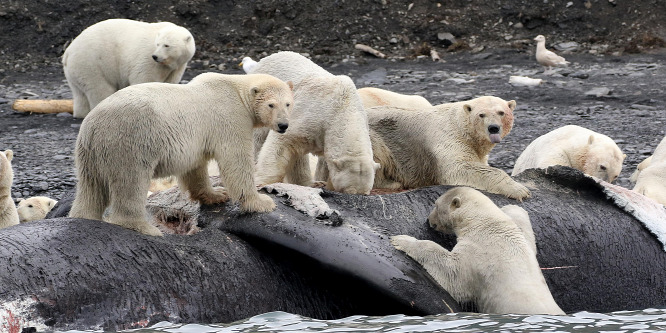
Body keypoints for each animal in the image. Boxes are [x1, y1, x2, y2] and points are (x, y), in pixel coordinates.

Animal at [63, 18, 195, 118]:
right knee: (100, 89)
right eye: (158, 44)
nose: (155, 56)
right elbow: (144, 79)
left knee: (80, 93)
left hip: (76, 70)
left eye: (166, 45)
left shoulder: (176, 67)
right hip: (91, 63)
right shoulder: (147, 59)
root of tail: (68, 52)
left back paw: (81, 113)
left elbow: (169, 82)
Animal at [69, 72, 294, 235]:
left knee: (91, 188)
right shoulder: (230, 118)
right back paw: (145, 228)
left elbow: (195, 167)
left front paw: (216, 194)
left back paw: (84, 216)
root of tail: (93, 125)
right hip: (130, 141)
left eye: (288, 103)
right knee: (131, 182)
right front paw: (261, 203)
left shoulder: (198, 140)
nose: (283, 125)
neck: (236, 90)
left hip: (90, 153)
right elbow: (236, 161)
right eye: (271, 104)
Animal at [366, 96, 528, 200]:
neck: (459, 124)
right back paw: (391, 183)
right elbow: (458, 168)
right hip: (372, 135)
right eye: (481, 115)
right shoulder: (449, 138)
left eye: (501, 112)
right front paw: (519, 190)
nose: (493, 128)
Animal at [392, 187, 564, 314]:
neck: (483, 224)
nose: (429, 220)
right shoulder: (520, 238)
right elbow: (521, 224)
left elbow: (452, 273)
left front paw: (401, 240)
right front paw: (511, 206)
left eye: (435, 205)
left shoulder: (478, 252)